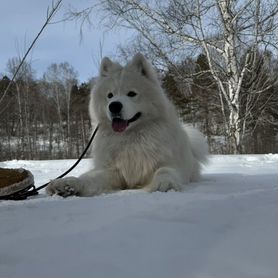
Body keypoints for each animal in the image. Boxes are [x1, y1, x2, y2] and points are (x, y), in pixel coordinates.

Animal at [46, 53, 207, 198]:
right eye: (110, 95)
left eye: (131, 93)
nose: (114, 106)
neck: (131, 138)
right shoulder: (114, 171)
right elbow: (89, 178)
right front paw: (68, 184)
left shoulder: (169, 163)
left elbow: (165, 170)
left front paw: (164, 183)